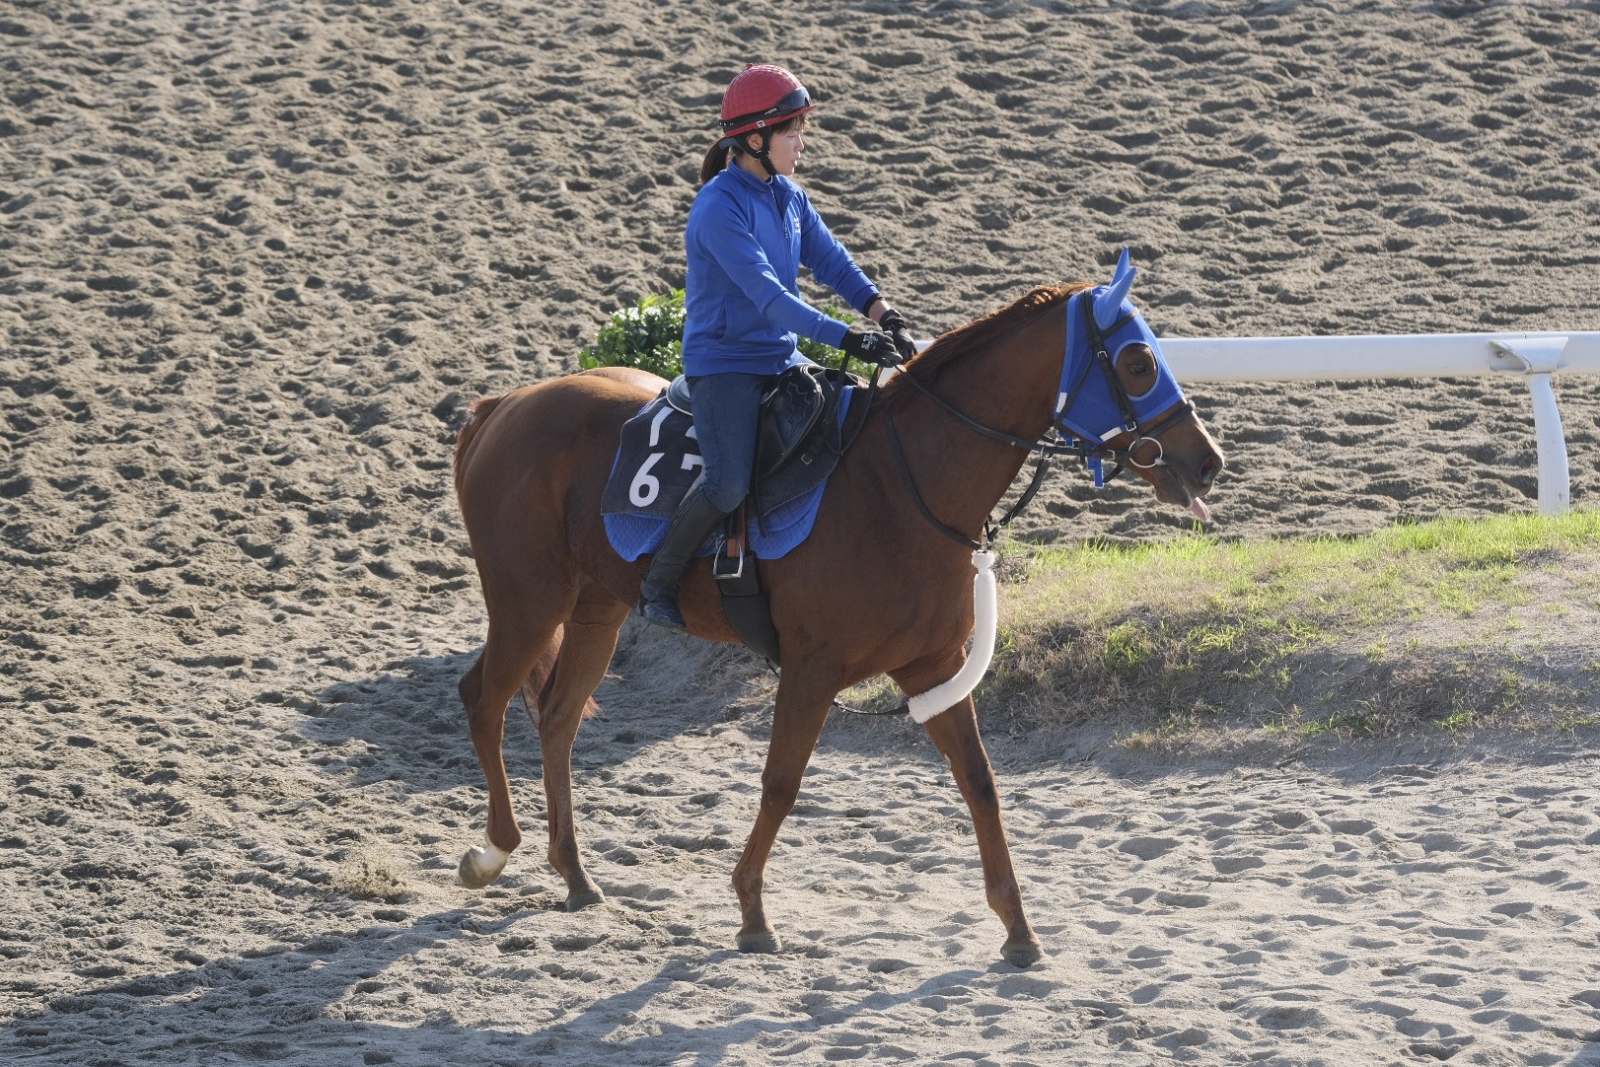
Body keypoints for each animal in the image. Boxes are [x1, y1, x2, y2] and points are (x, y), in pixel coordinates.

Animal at [451, 268, 1222, 966]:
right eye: (1137, 361)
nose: (1208, 461)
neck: (899, 484)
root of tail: (505, 403)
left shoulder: (933, 667)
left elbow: (980, 782)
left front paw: (1018, 929)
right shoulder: (811, 670)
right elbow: (781, 784)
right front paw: (752, 912)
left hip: (597, 610)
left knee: (557, 718)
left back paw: (576, 874)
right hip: (527, 601)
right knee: (483, 698)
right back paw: (493, 851)